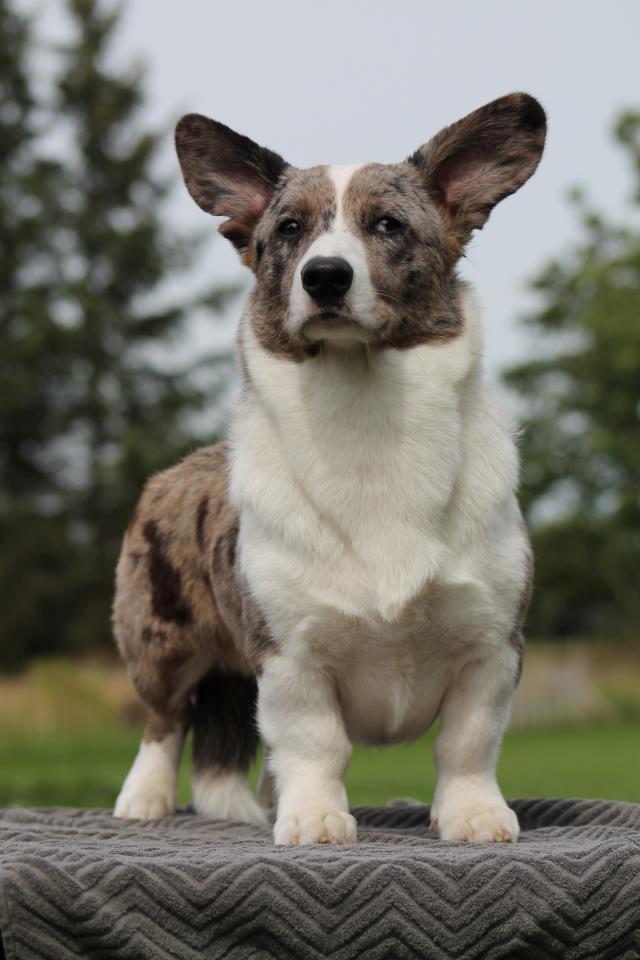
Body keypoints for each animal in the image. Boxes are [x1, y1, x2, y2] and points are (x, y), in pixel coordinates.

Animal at [112, 90, 544, 840]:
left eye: (388, 224)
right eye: (289, 228)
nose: (324, 276)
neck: (367, 414)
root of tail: (173, 472)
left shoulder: (490, 647)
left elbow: (467, 743)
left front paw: (474, 816)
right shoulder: (291, 655)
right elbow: (314, 743)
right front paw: (315, 820)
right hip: (161, 642)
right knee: (162, 723)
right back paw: (144, 801)